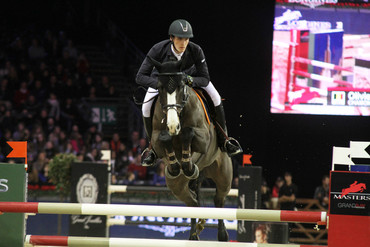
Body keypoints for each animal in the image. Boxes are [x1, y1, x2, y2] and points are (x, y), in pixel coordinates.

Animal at [148, 57, 233, 240]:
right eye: (160, 87)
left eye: (181, 86)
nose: (173, 126)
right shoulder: (157, 140)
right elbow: (164, 138)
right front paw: (176, 165)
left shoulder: (204, 138)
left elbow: (188, 132)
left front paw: (188, 165)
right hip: (176, 185)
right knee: (193, 202)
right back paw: (195, 231)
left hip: (223, 174)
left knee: (219, 200)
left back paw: (222, 235)